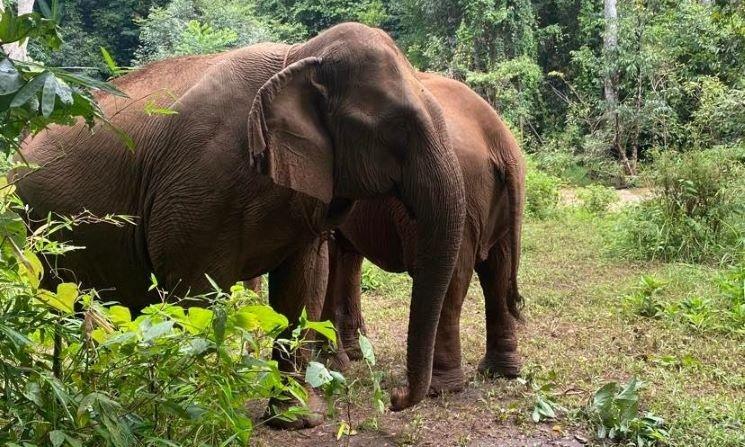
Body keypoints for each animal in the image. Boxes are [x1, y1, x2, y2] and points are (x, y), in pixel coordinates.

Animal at [322, 71, 528, 396]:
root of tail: (500, 141)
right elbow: (345, 254)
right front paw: (353, 354)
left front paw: (335, 360)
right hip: (497, 206)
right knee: (497, 271)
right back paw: (502, 372)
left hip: (456, 195)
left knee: (453, 276)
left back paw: (440, 386)